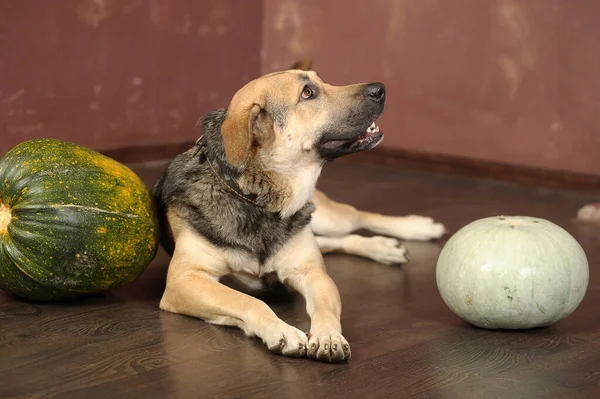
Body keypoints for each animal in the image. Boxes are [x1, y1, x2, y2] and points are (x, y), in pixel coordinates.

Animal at [154, 61, 446, 364]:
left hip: (328, 219)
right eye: (307, 93)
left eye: (321, 81)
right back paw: (384, 247)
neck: (262, 199)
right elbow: (247, 300)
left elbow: (325, 310)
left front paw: (328, 336)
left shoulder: (313, 274)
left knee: (359, 217)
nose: (381, 89)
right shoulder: (185, 281)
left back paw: (416, 228)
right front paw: (281, 330)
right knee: (338, 239)